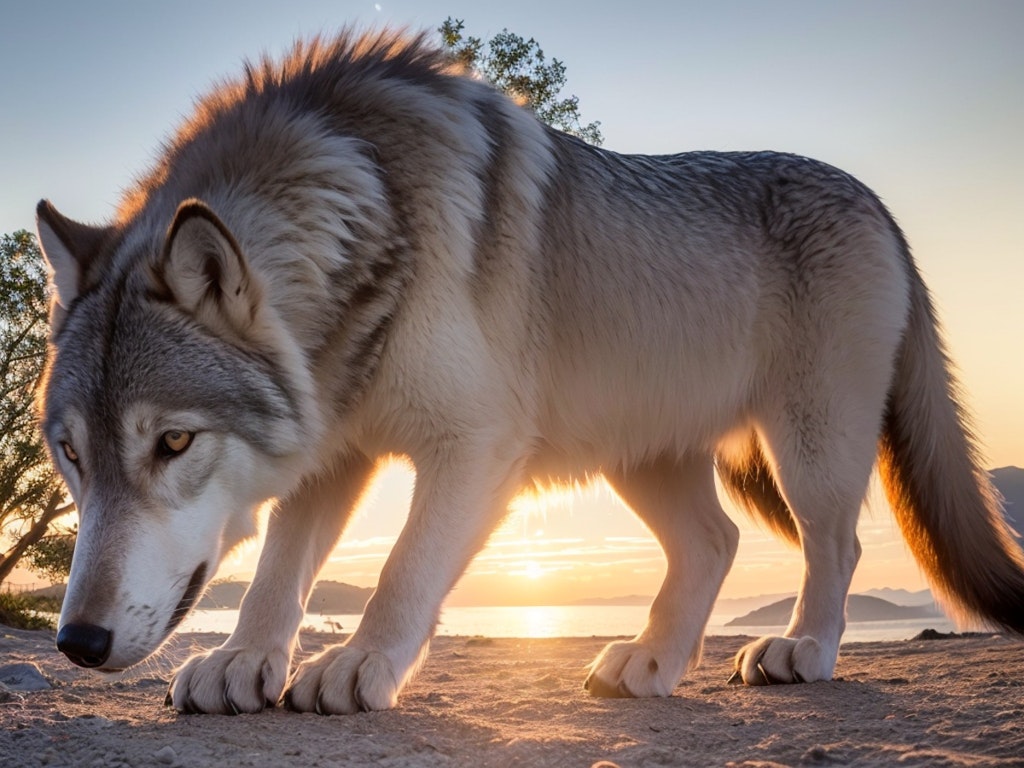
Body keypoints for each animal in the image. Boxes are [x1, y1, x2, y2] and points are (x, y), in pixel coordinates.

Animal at [34, 30, 1024, 716]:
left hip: (807, 452)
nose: (76, 641)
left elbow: (403, 568)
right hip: (641, 454)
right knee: (714, 544)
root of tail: (880, 205)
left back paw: (803, 651)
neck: (367, 199)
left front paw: (357, 664)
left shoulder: (473, 444)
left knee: (835, 545)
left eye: (173, 442)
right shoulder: (336, 451)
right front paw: (243, 661)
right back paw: (650, 664)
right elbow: (281, 571)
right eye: (73, 458)